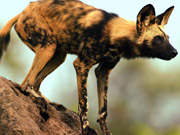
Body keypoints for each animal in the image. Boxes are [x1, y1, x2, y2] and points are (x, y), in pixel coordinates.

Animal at [0, 0, 177, 134]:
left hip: (58, 55)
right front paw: (86, 128)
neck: (114, 34)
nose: (175, 52)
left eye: (167, 38)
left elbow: (103, 111)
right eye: (158, 38)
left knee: (34, 83)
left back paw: (49, 102)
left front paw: (106, 132)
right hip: (48, 47)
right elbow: (84, 104)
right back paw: (39, 99)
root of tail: (24, 11)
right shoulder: (82, 65)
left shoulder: (103, 71)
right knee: (25, 84)